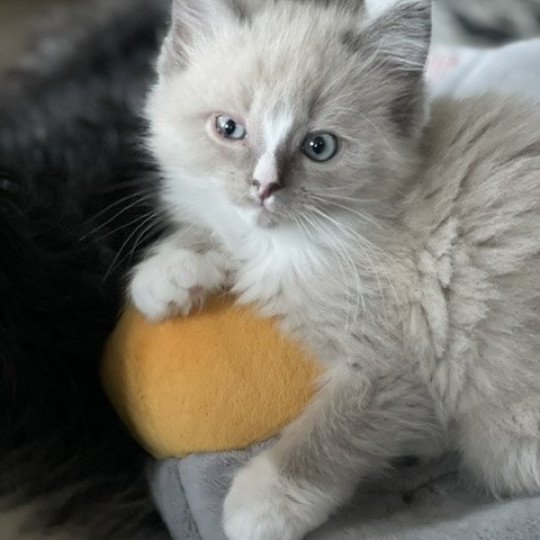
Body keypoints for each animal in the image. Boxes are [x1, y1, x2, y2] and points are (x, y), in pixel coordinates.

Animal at [131, 1, 540, 540]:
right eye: (229, 128)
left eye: (319, 147)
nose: (264, 187)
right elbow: (221, 230)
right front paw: (168, 274)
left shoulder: (403, 367)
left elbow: (331, 434)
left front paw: (262, 502)